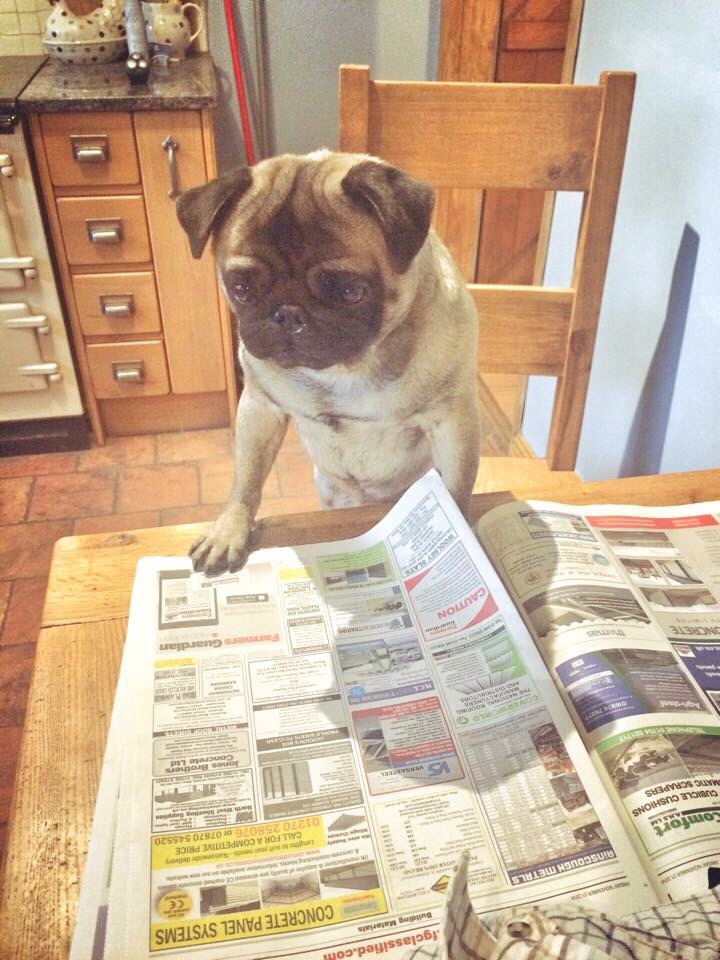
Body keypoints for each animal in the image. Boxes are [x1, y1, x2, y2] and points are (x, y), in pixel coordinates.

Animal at [176, 150, 480, 575]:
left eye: (349, 291)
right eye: (240, 289)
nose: (288, 314)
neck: (346, 371)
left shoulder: (451, 420)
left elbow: (455, 487)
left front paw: (460, 532)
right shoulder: (259, 408)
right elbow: (246, 480)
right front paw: (229, 529)